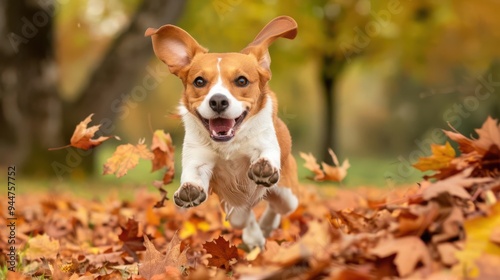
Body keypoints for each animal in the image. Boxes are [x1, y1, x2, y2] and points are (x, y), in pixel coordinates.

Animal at [146, 16, 298, 248]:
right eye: (199, 81)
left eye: (242, 80)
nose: (218, 100)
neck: (229, 145)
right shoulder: (198, 159)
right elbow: (194, 175)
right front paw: (189, 189)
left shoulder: (265, 144)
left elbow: (264, 154)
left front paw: (263, 166)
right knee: (243, 215)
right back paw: (254, 234)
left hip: (288, 196)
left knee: (276, 208)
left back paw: (266, 225)